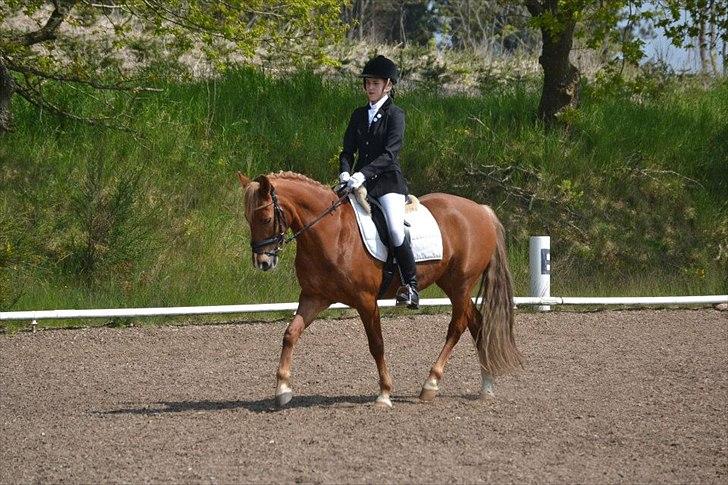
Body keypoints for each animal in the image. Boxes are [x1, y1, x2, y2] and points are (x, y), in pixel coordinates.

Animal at [236, 172, 520, 406]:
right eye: (248, 218)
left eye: (265, 217)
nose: (263, 262)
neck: (332, 232)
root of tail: (481, 210)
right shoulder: (314, 297)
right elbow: (290, 334)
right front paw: (282, 389)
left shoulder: (366, 300)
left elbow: (377, 344)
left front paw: (384, 393)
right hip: (452, 284)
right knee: (477, 323)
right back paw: (486, 387)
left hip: (461, 284)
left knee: (457, 327)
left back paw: (431, 384)